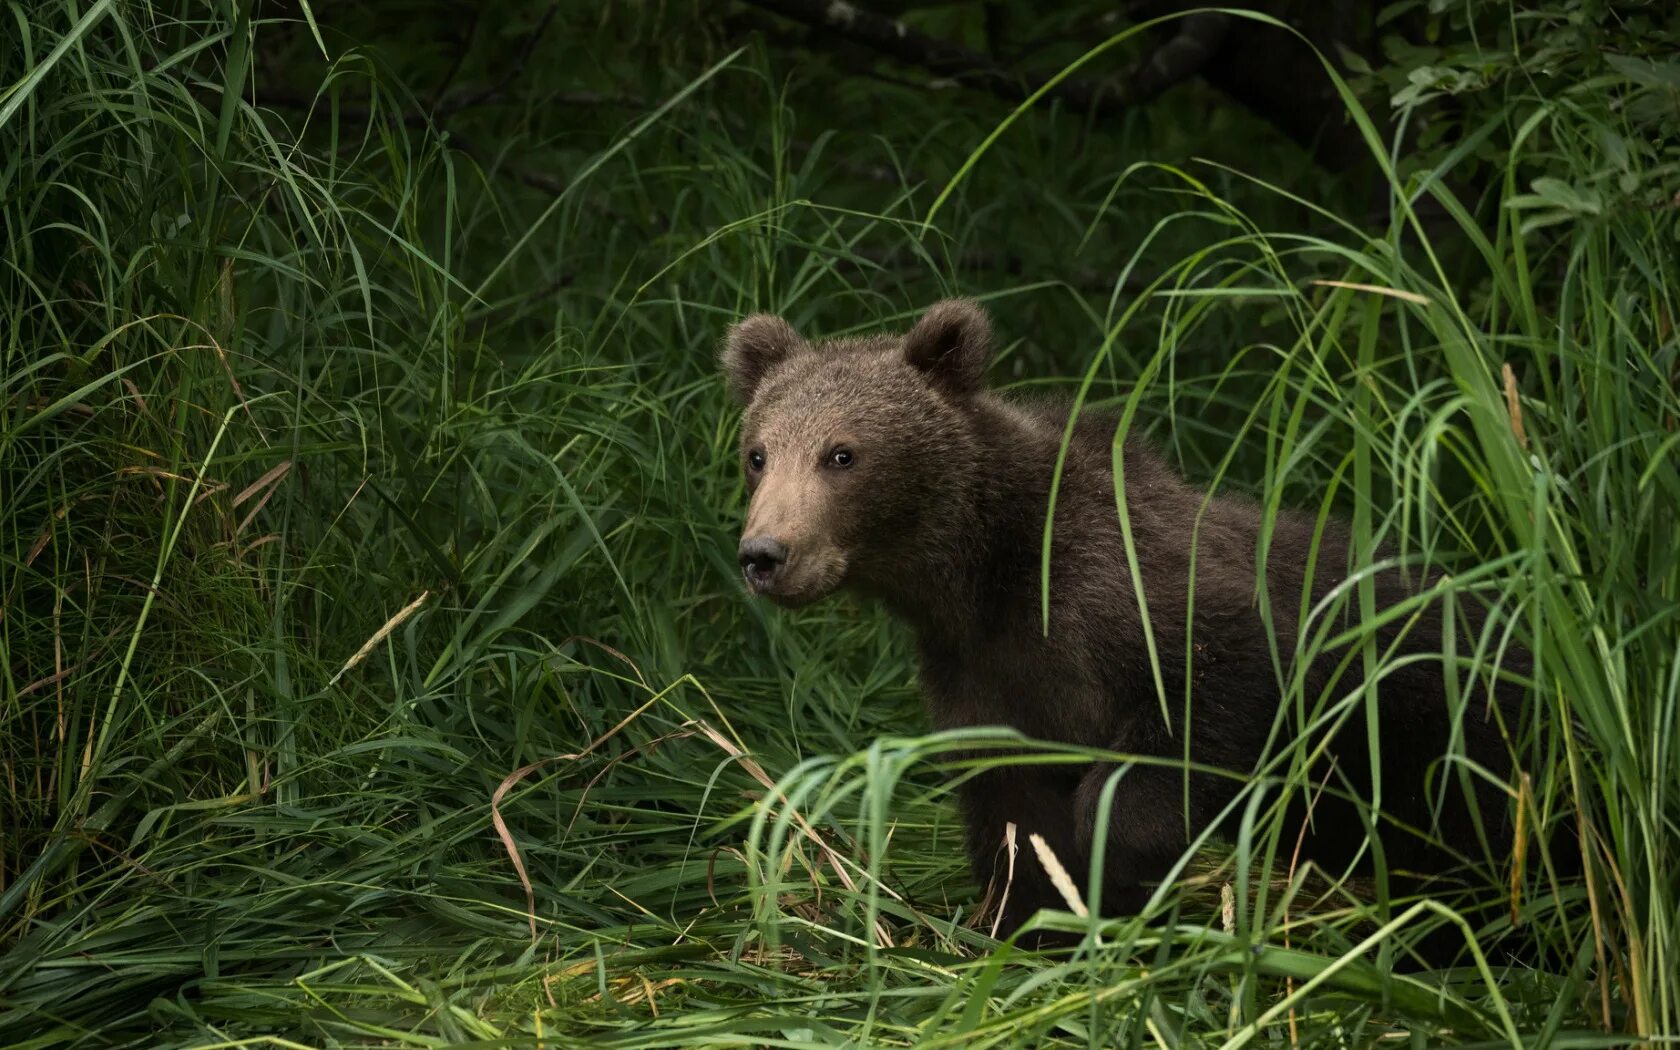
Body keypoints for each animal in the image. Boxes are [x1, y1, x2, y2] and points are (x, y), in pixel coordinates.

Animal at [715, 297, 1532, 947]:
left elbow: (1195, 703)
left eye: (841, 454)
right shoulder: (978, 669)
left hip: (1447, 723)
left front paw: (1118, 864)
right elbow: (1014, 811)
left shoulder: (1128, 596)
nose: (765, 554)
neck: (987, 569)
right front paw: (1030, 918)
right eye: (758, 453)